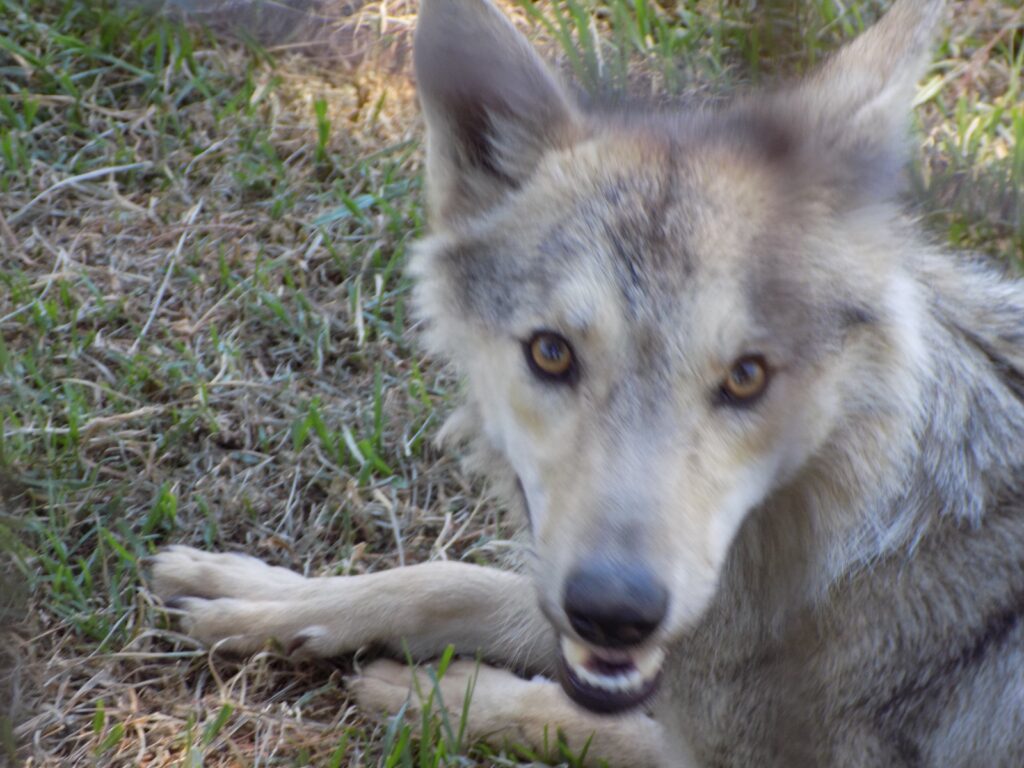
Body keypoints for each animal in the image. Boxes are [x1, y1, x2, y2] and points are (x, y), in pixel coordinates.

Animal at [149, 0, 1024, 764]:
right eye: (551, 354)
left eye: (747, 375)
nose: (616, 614)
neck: (863, 538)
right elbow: (448, 579)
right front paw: (270, 597)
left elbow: (575, 713)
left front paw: (439, 695)